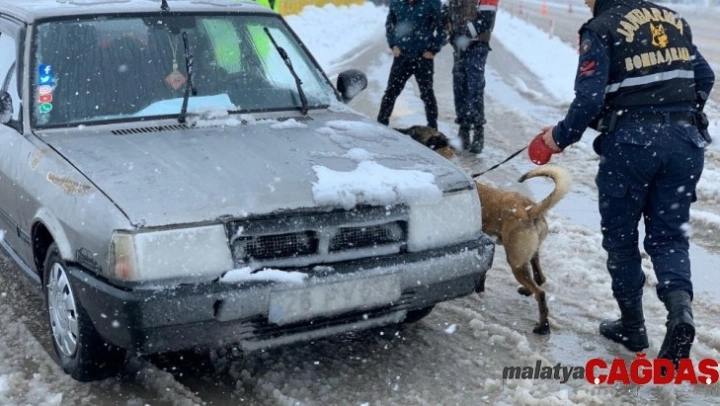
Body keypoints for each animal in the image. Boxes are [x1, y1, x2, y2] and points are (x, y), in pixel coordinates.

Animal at [474, 165, 570, 334]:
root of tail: (529, 209)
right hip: (529, 255)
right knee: (539, 279)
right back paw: (527, 292)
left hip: (515, 261)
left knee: (540, 293)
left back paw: (542, 327)